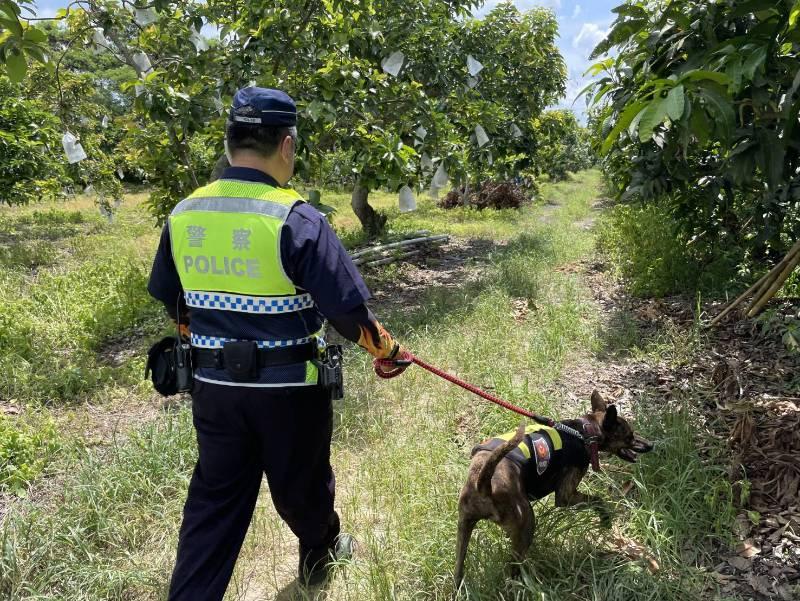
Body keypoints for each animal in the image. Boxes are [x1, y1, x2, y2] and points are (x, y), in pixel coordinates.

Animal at [454, 390, 652, 584]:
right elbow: (597, 499)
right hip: (527, 523)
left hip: (464, 528)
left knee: (458, 569)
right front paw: (605, 520)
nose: (651, 444)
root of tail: (483, 484)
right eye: (629, 436)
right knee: (514, 568)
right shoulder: (566, 496)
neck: (585, 432)